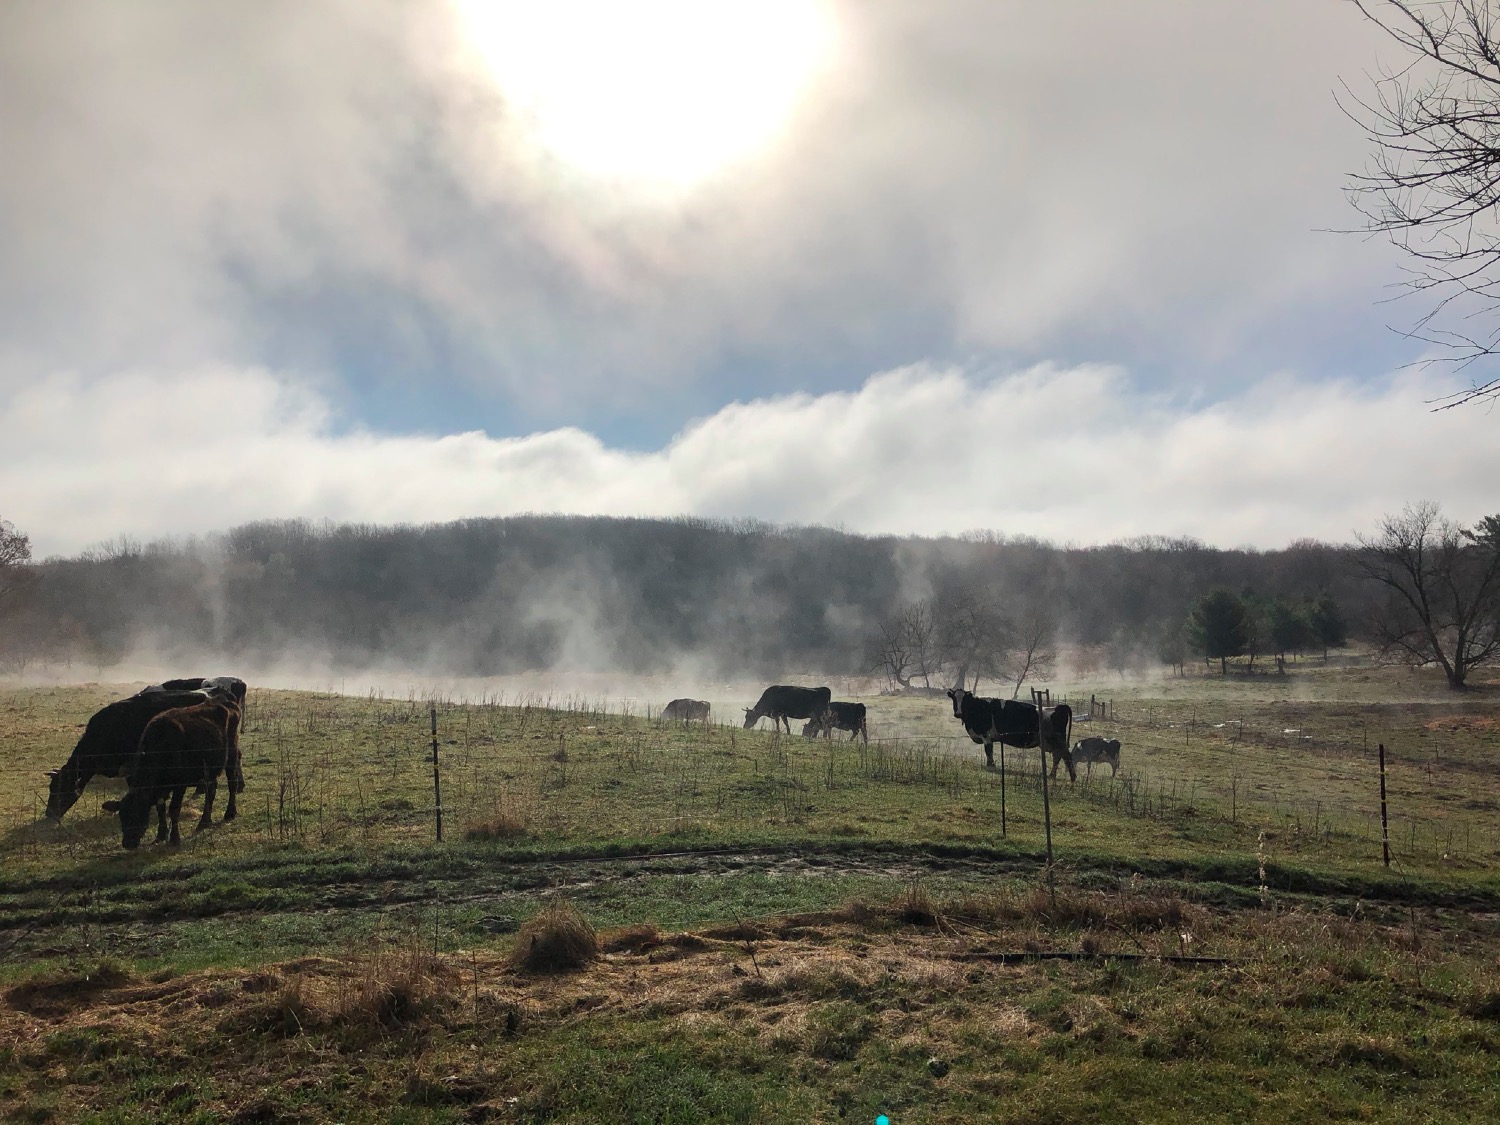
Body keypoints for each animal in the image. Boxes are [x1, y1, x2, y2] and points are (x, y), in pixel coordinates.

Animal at [104, 702, 238, 852]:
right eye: (122, 816)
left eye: (138, 814)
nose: (128, 843)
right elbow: (160, 808)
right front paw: (161, 835)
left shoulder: (180, 784)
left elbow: (173, 809)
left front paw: (174, 838)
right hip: (209, 769)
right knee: (212, 789)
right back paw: (204, 821)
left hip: (231, 755)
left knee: (232, 783)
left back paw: (229, 813)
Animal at [942, 687, 1074, 786]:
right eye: (954, 699)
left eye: (964, 700)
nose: (958, 713)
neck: (977, 708)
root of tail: (1058, 707)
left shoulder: (986, 735)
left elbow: (988, 750)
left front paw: (991, 766)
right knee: (1058, 756)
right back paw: (1052, 775)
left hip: (1058, 740)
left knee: (1066, 756)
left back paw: (1072, 777)